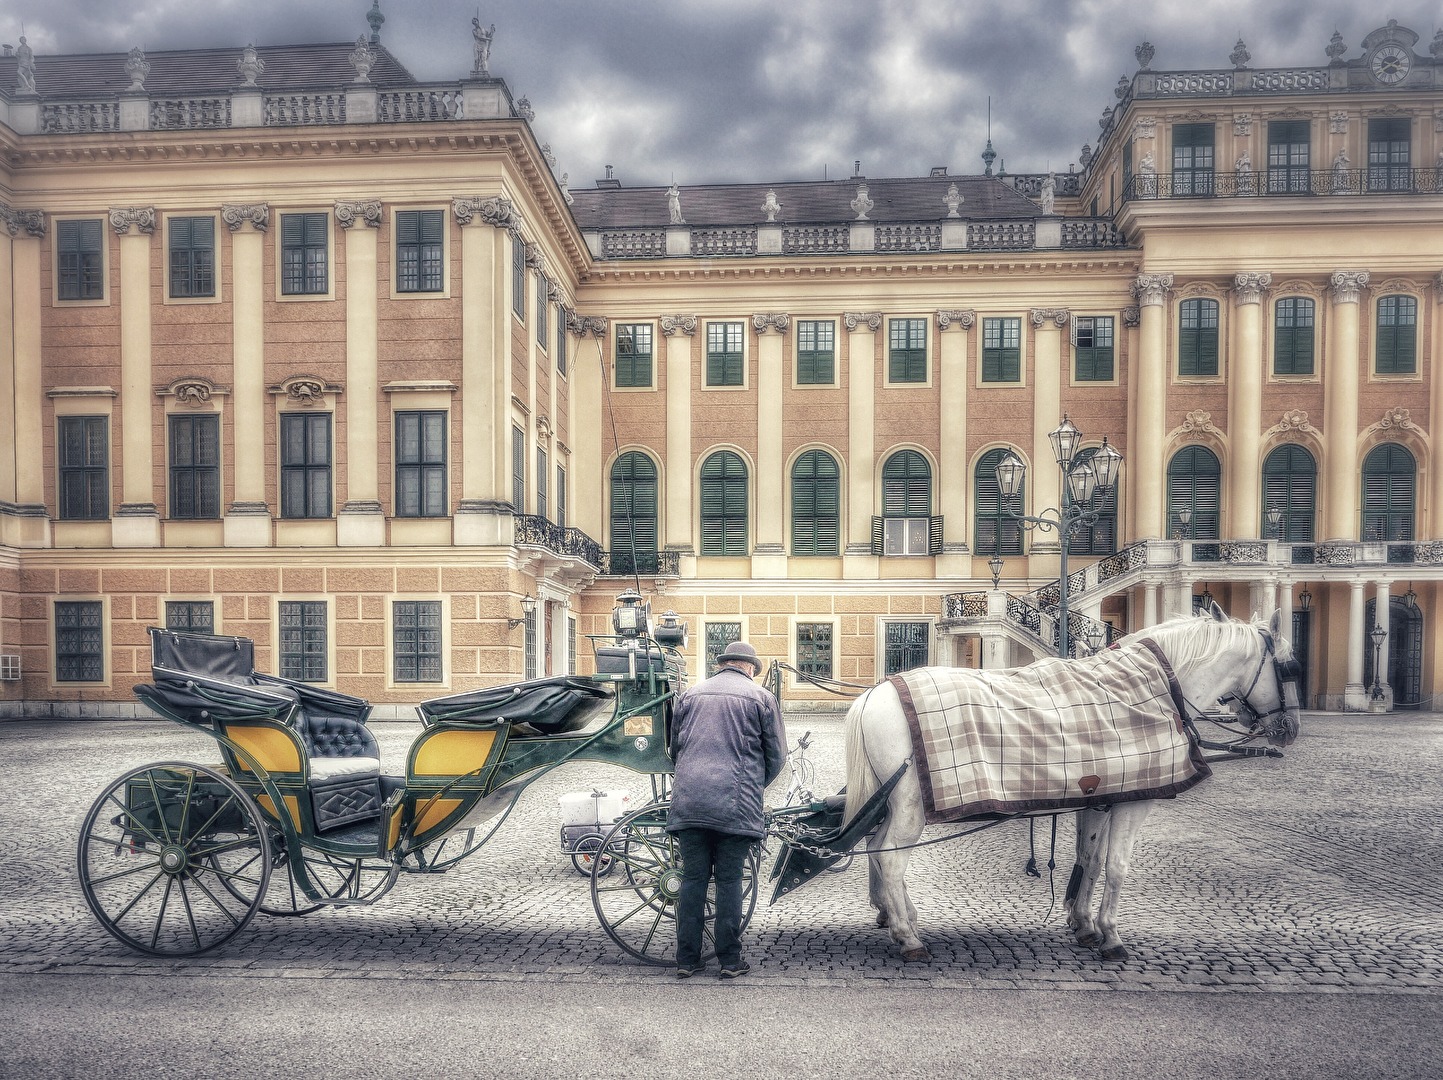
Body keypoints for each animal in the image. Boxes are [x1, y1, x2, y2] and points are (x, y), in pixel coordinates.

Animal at [842, 606, 1304, 964]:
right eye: (1290, 666)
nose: (1290, 728)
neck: (1155, 687)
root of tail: (877, 692)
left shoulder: (1100, 798)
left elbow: (1091, 861)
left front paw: (1083, 924)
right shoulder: (1134, 802)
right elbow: (1117, 867)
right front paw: (1111, 935)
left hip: (892, 803)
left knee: (876, 849)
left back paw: (898, 917)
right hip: (911, 806)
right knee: (889, 857)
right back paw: (908, 936)